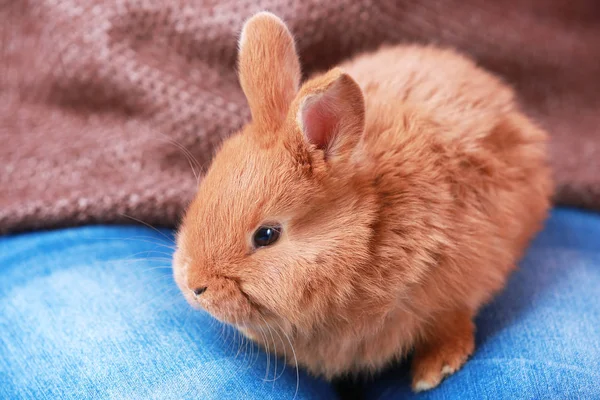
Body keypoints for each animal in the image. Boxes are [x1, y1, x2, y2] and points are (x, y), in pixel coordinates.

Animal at [171, 11, 552, 390]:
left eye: (266, 235)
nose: (194, 286)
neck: (370, 231)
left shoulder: (457, 286)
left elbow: (451, 323)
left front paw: (436, 370)